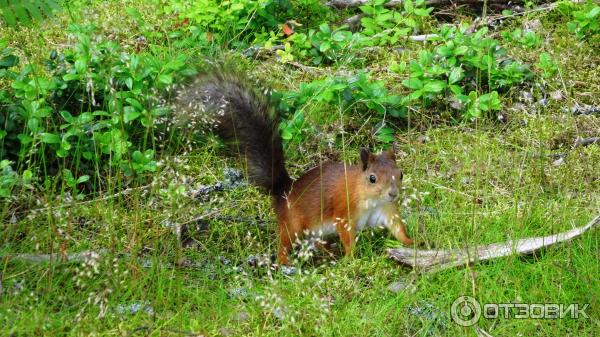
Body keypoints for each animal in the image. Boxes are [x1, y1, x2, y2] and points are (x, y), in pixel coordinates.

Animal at [176, 71, 414, 266]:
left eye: (400, 174)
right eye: (372, 178)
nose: (393, 194)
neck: (370, 199)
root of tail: (283, 191)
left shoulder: (386, 210)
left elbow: (397, 227)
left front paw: (412, 242)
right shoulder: (343, 212)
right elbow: (347, 237)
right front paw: (352, 258)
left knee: (313, 242)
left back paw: (327, 251)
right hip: (293, 224)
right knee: (284, 243)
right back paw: (285, 262)